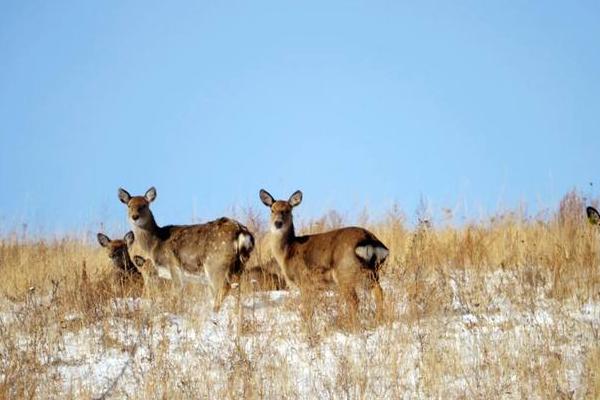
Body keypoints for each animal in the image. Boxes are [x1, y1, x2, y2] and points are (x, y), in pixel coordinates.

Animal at [118, 186, 254, 310]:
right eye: (129, 206)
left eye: (145, 205)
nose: (135, 216)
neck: (155, 243)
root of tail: (241, 231)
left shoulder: (174, 266)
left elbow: (176, 294)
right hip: (239, 265)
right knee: (238, 288)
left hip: (215, 263)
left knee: (224, 287)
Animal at [258, 189, 390, 318]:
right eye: (272, 210)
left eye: (288, 210)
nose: (278, 223)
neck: (288, 251)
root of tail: (368, 239)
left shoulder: (305, 280)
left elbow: (307, 310)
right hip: (373, 272)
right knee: (379, 293)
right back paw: (378, 319)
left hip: (345, 273)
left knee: (354, 301)